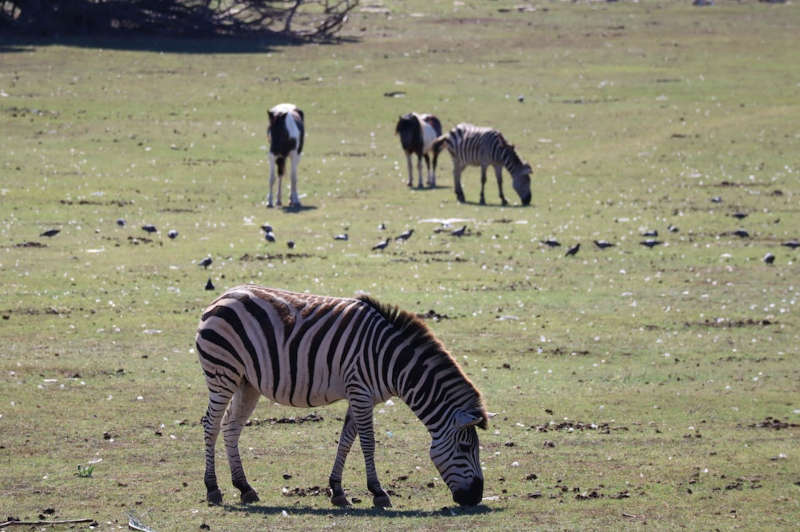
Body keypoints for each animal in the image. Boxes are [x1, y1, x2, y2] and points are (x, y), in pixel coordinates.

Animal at [198, 286, 488, 508]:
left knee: (231, 427)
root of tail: (222, 296)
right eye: (466, 448)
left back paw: (244, 488)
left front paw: (337, 491)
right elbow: (368, 443)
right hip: (222, 373)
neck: (393, 361)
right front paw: (378, 492)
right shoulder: (360, 391)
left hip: (247, 383)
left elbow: (347, 441)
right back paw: (213, 488)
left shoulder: (359, 394)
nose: (476, 497)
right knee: (212, 425)